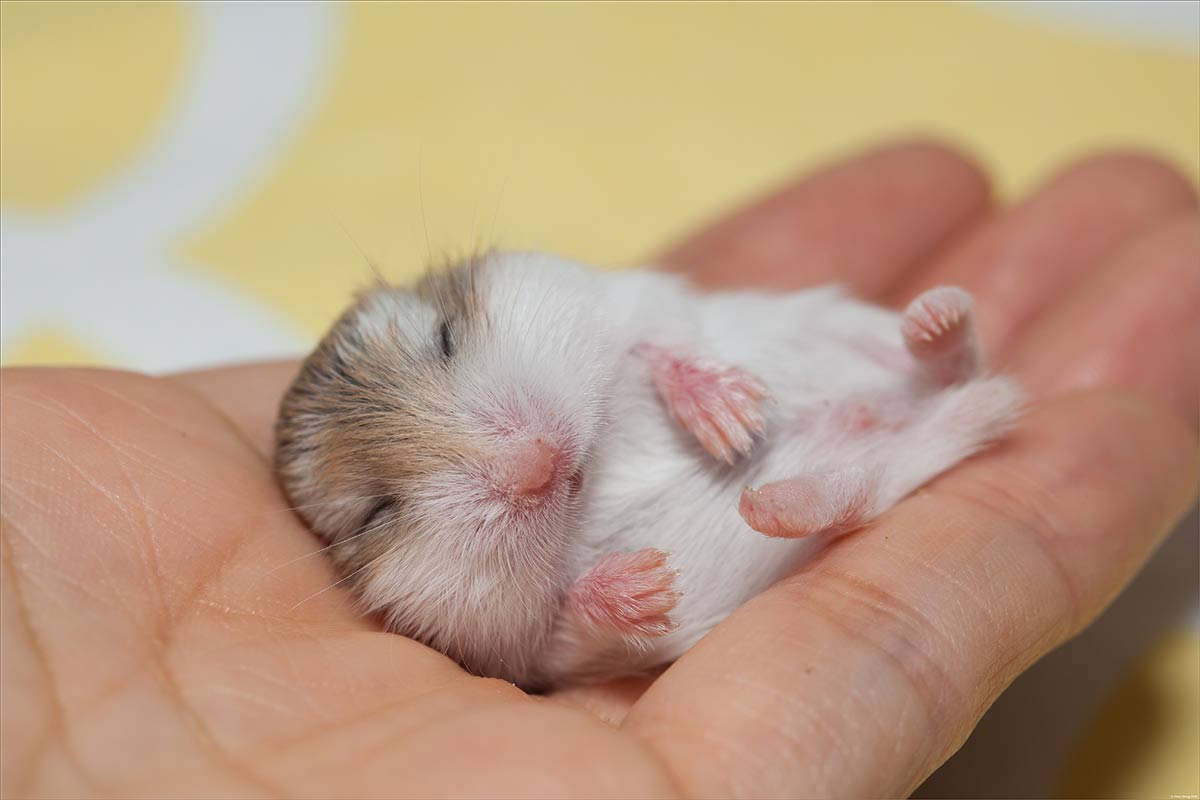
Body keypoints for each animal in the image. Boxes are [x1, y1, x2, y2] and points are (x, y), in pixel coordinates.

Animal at [275, 251, 1022, 690]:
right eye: (377, 511)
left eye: (447, 337)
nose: (540, 461)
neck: (595, 472)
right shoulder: (526, 658)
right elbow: (570, 622)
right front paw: (648, 586)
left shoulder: (625, 303)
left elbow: (661, 344)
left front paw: (731, 420)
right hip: (882, 465)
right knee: (859, 490)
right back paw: (778, 503)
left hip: (839, 325)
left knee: (954, 363)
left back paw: (935, 321)